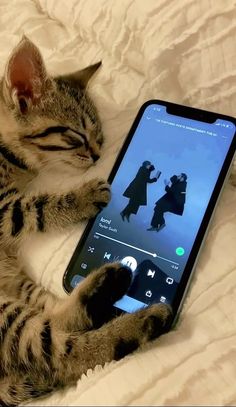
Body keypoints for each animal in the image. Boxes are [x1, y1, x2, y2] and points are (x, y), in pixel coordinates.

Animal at [0, 36, 171, 406]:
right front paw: (81, 197)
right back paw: (142, 320)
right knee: (57, 354)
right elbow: (33, 208)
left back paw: (105, 287)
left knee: (52, 318)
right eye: (77, 136)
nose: (97, 155)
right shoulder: (4, 207)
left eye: (101, 138)